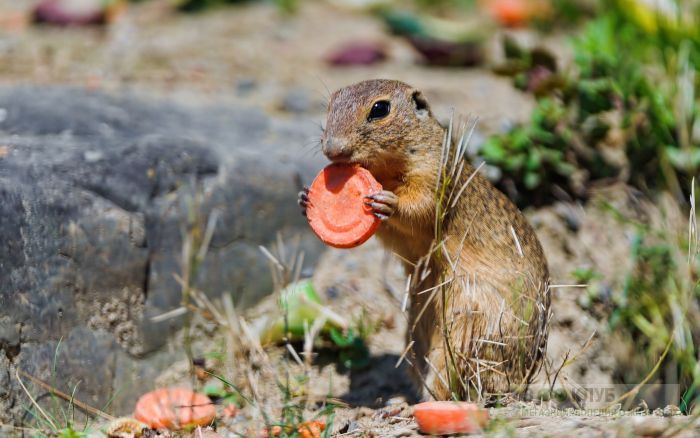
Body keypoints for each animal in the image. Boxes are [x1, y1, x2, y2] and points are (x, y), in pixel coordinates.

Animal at [298, 78, 548, 400]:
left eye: (380, 109)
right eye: (330, 104)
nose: (332, 149)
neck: (386, 171)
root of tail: (522, 382)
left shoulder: (432, 175)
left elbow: (420, 206)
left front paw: (387, 203)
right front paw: (305, 197)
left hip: (463, 335)